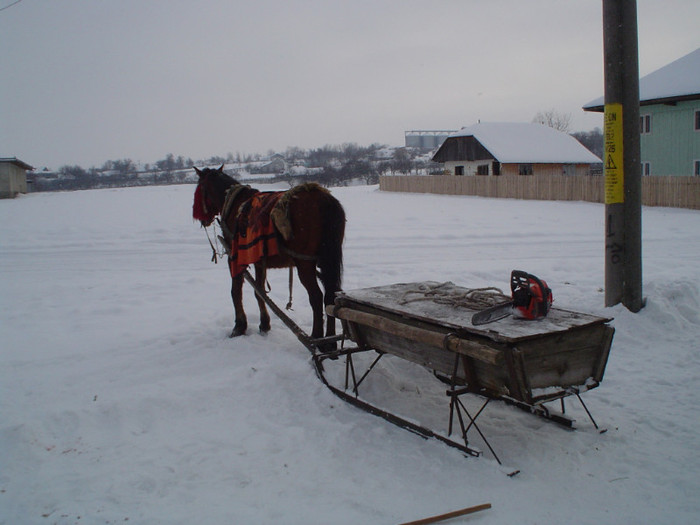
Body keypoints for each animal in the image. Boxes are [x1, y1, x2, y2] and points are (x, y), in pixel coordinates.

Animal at [193, 165, 346, 344]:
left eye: (199, 187)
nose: (202, 220)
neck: (233, 205)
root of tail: (324, 200)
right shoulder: (259, 261)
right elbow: (259, 292)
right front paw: (264, 324)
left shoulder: (235, 258)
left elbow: (236, 291)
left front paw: (239, 326)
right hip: (325, 260)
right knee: (330, 296)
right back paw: (331, 340)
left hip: (304, 263)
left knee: (316, 297)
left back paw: (317, 339)